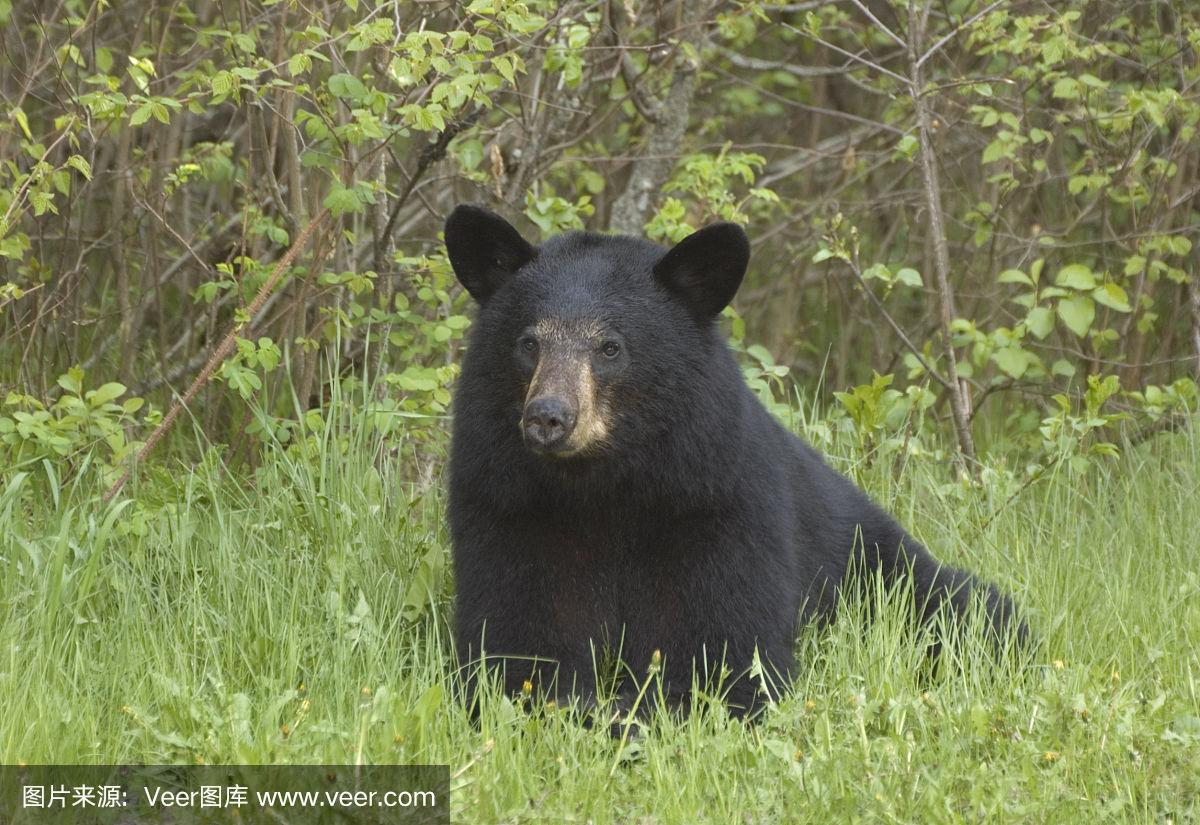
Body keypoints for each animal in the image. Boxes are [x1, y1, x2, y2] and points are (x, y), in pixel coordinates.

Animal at [446, 206, 1027, 719]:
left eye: (610, 347)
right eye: (528, 343)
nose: (548, 417)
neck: (602, 486)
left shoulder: (714, 504)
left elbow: (723, 652)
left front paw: (634, 709)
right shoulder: (511, 505)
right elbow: (517, 642)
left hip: (885, 570)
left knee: (972, 613)